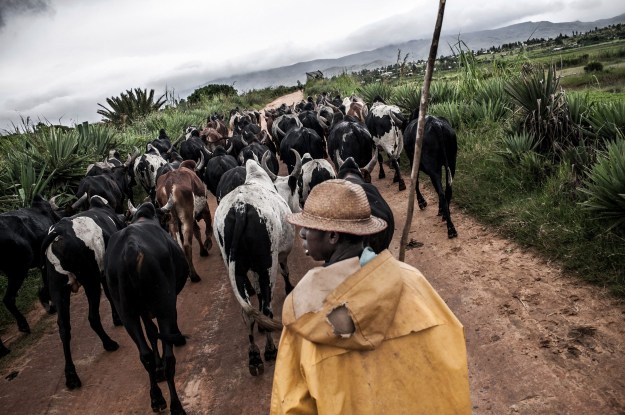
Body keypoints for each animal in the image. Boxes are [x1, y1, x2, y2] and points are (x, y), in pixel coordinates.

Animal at [41, 195, 125, 390]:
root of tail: (59, 231)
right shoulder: (103, 273)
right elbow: (110, 294)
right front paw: (118, 318)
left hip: (58, 289)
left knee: (64, 328)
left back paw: (71, 376)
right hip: (90, 281)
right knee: (93, 317)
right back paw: (109, 344)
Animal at [105, 202, 189, 415]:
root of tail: (130, 250)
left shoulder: (142, 312)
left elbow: (151, 333)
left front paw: (157, 370)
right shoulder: (167, 305)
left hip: (127, 314)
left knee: (145, 355)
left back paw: (157, 398)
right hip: (164, 306)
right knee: (169, 357)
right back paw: (176, 406)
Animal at [212, 159, 294, 376]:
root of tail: (240, 208)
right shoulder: (281, 254)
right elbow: (285, 271)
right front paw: (290, 288)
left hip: (236, 267)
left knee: (247, 313)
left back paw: (255, 356)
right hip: (267, 264)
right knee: (266, 309)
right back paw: (270, 350)